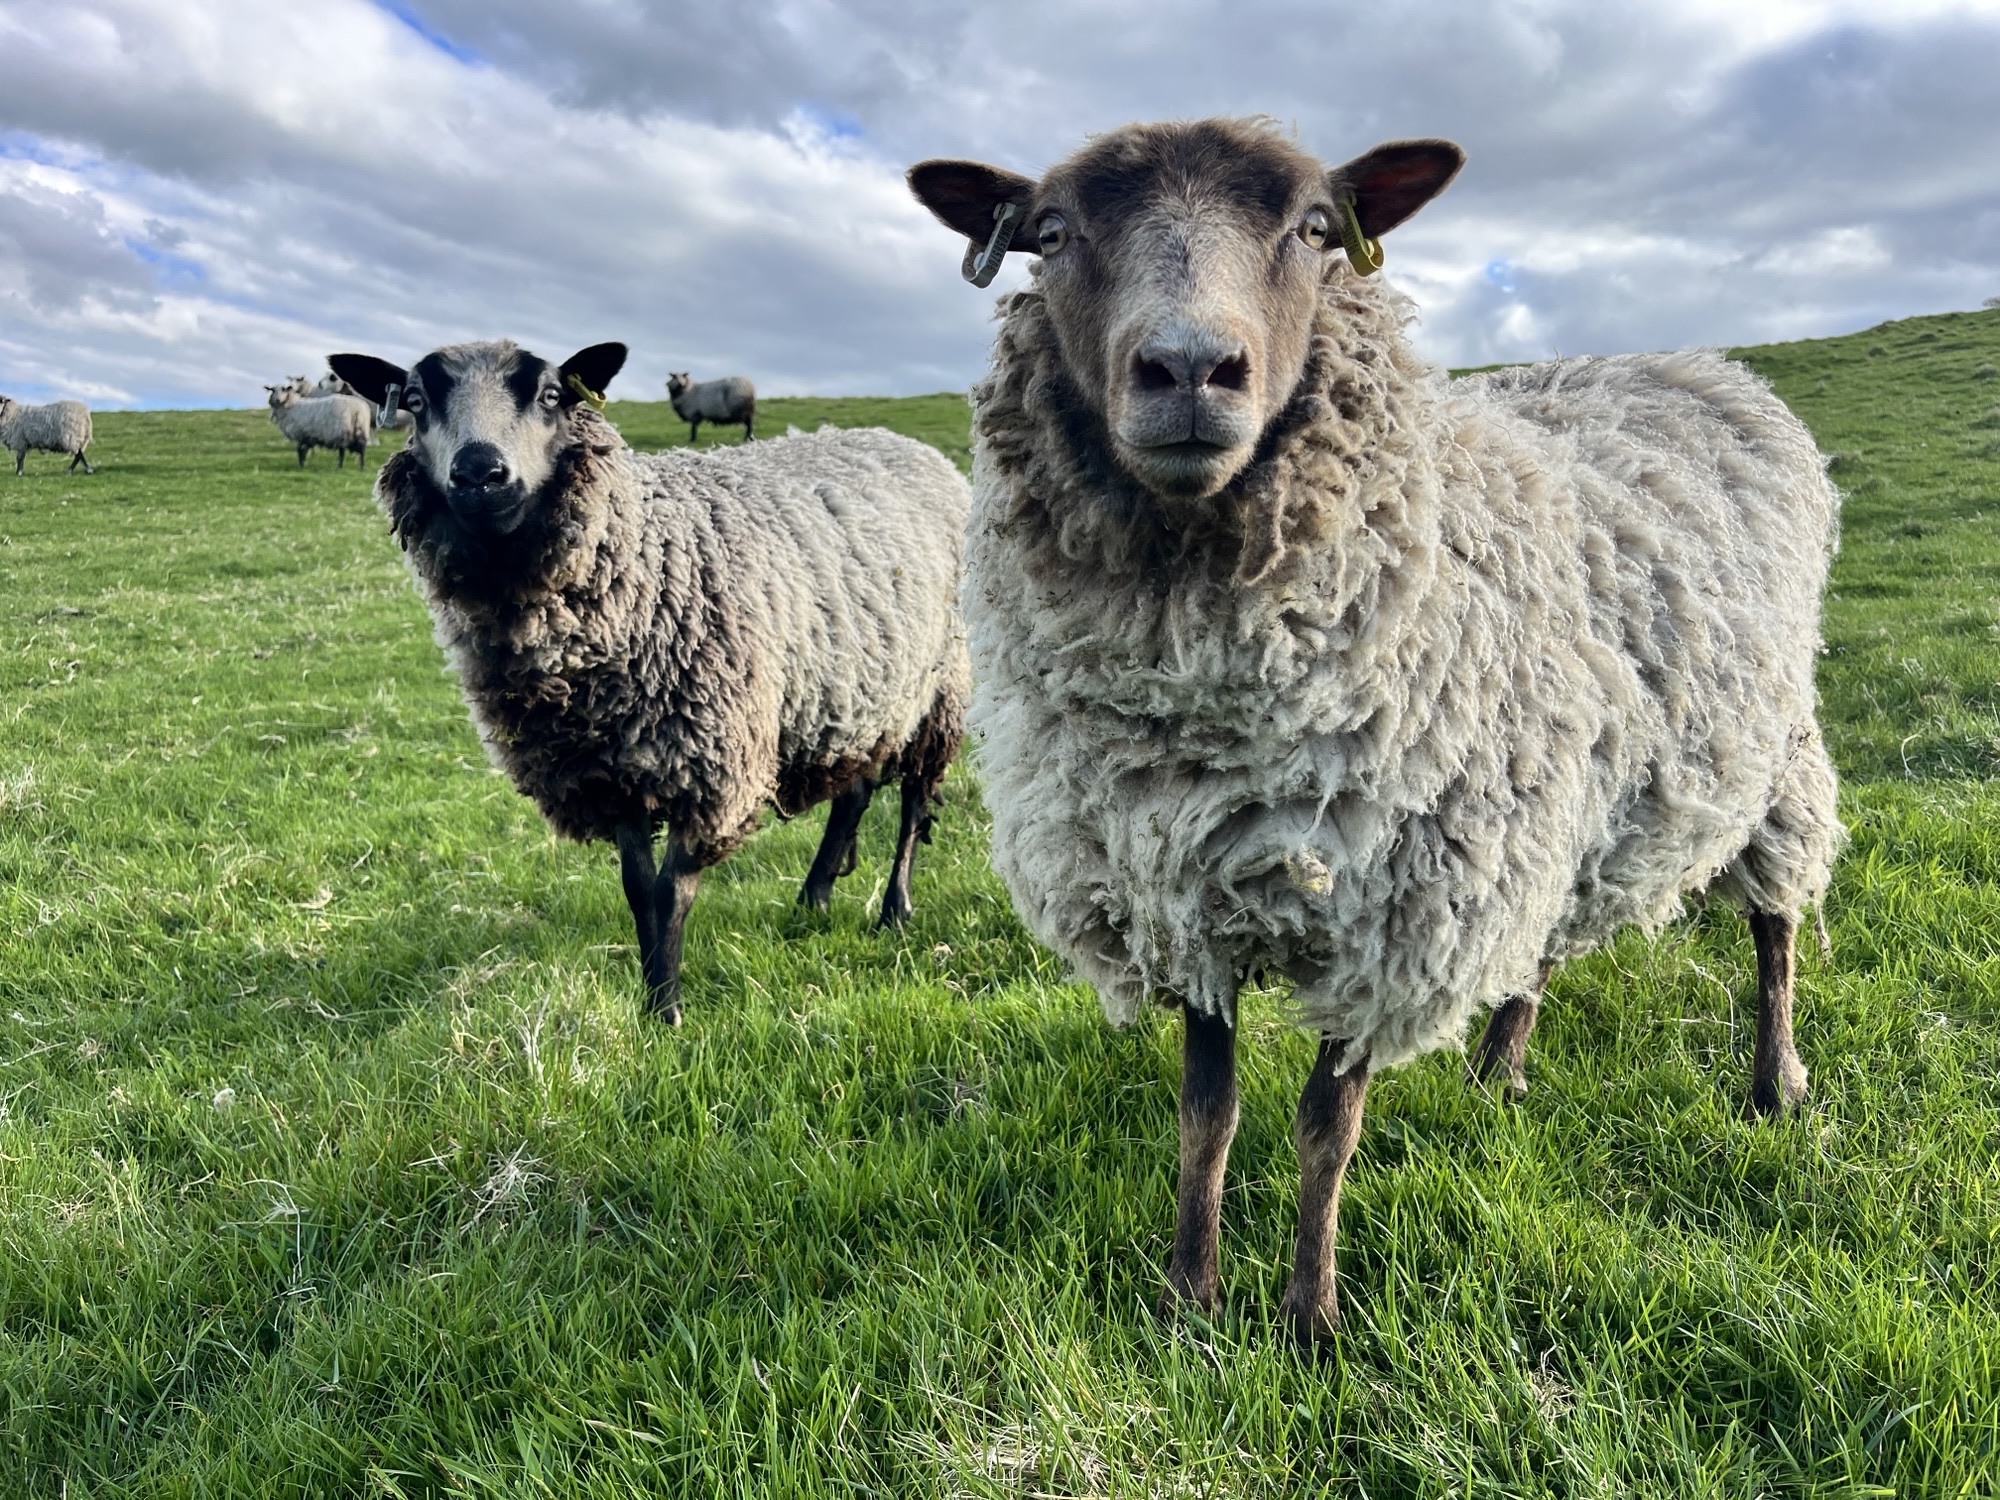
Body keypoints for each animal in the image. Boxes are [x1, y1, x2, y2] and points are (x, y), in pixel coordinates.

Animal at [328, 340, 969, 1023]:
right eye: (415, 400)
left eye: (552, 395)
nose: (479, 472)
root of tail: (906, 443)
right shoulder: (610, 772)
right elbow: (637, 890)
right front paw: (650, 999)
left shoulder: (711, 764)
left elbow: (672, 890)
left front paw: (670, 1011)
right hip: (855, 691)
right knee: (855, 791)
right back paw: (815, 896)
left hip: (941, 687)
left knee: (913, 802)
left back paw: (895, 909)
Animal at [910, 117, 1841, 1342]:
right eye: (1051, 233)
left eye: (1314, 228)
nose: (1190, 370)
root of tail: (1701, 364)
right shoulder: (1179, 889)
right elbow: (1205, 1111)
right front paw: (1190, 1297)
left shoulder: (1396, 905)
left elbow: (1325, 1123)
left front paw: (1309, 1318)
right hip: (1557, 795)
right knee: (1542, 937)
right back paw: (1499, 1068)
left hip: (1766, 750)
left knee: (1775, 923)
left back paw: (1774, 1081)